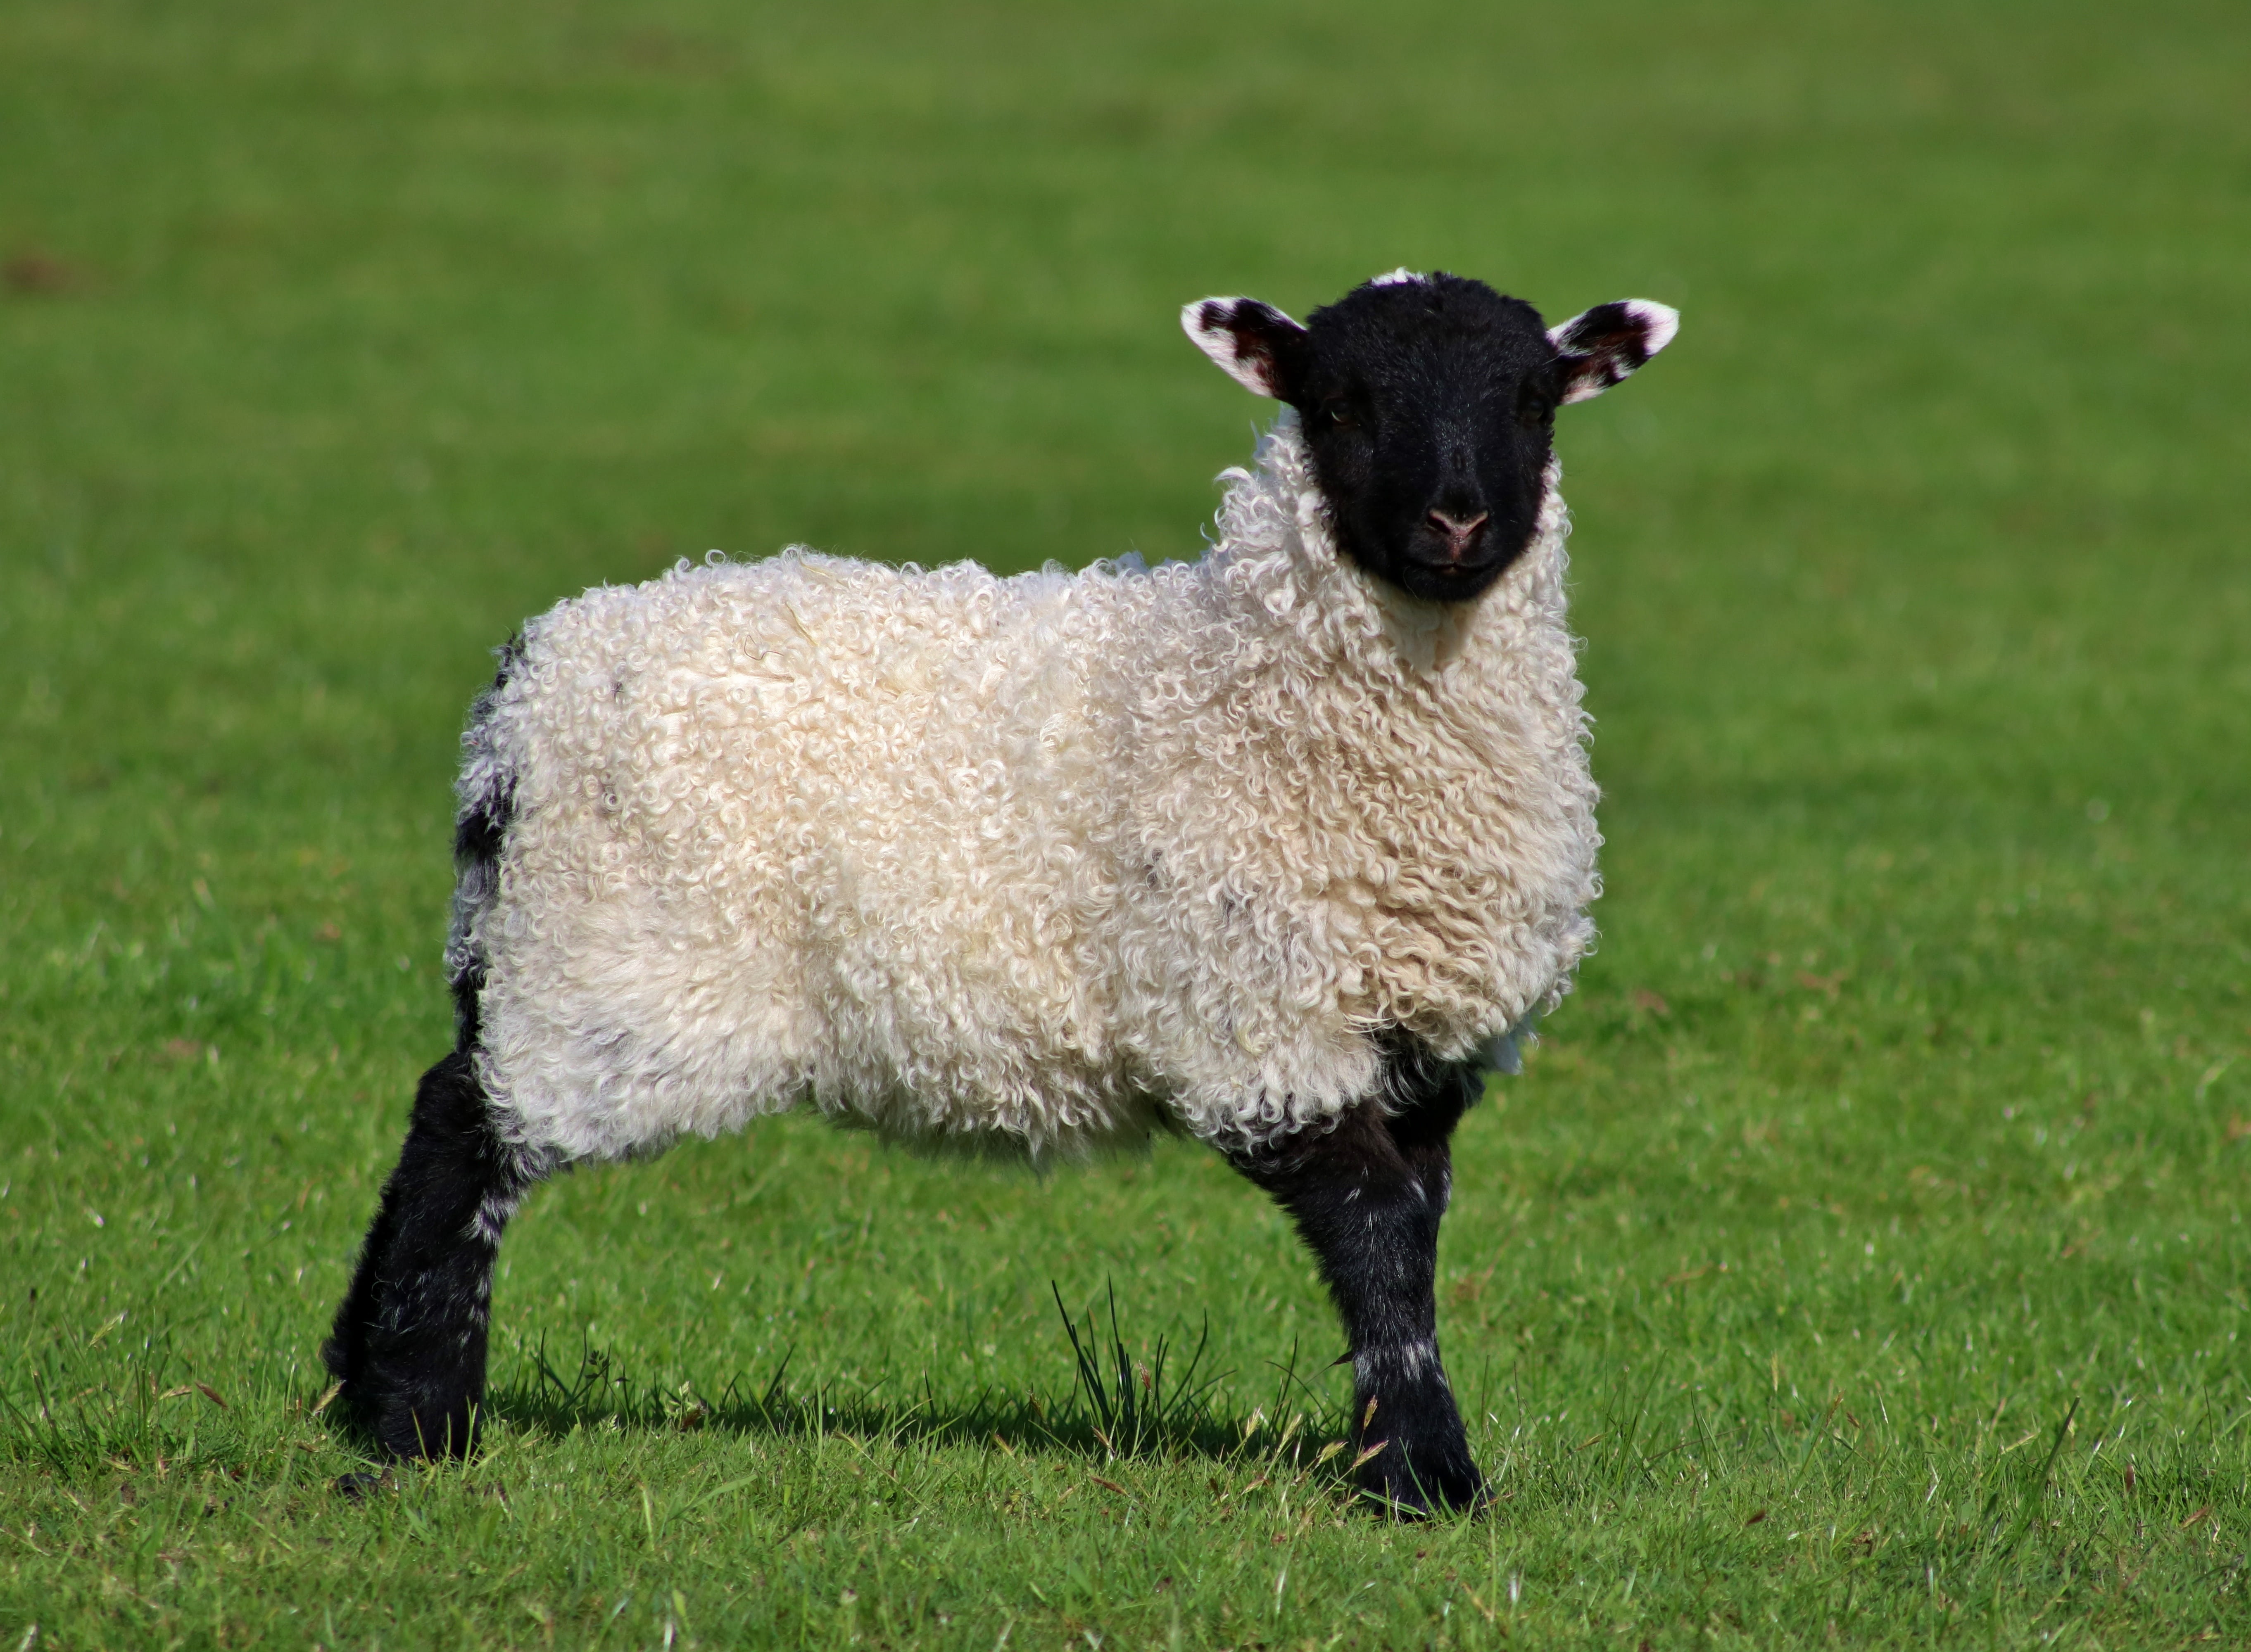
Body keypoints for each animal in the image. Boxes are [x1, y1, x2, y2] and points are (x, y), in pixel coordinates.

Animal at [325, 270, 1678, 1513]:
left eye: (1530, 402)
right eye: (1340, 404)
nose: (1455, 521)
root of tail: (527, 686)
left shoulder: (1425, 1049)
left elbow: (1413, 1236)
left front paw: (1391, 1455)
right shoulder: (1254, 1020)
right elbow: (1378, 1237)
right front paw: (1428, 1475)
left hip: (541, 943)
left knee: (444, 1097)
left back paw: (353, 1376)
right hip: (615, 956)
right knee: (465, 1130)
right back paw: (414, 1422)